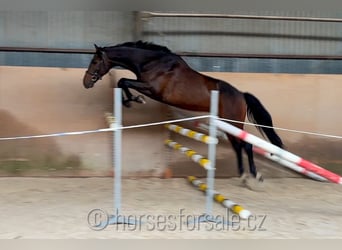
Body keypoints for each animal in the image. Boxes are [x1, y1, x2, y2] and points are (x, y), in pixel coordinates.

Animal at [83, 41, 284, 182]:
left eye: (95, 61)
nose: (86, 82)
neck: (152, 62)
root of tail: (241, 95)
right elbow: (122, 82)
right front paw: (131, 101)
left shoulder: (152, 89)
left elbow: (123, 81)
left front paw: (133, 101)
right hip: (228, 125)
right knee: (239, 146)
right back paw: (243, 175)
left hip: (233, 123)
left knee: (246, 145)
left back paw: (254, 175)